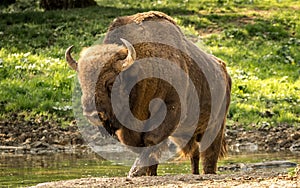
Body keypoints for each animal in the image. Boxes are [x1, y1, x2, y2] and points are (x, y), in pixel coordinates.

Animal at [65, 11, 231, 177]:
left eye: (111, 82)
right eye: (82, 82)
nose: (92, 114)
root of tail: (223, 69)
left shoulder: (171, 109)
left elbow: (151, 140)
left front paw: (136, 171)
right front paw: (147, 172)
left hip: (214, 128)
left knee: (208, 155)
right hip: (184, 134)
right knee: (194, 153)